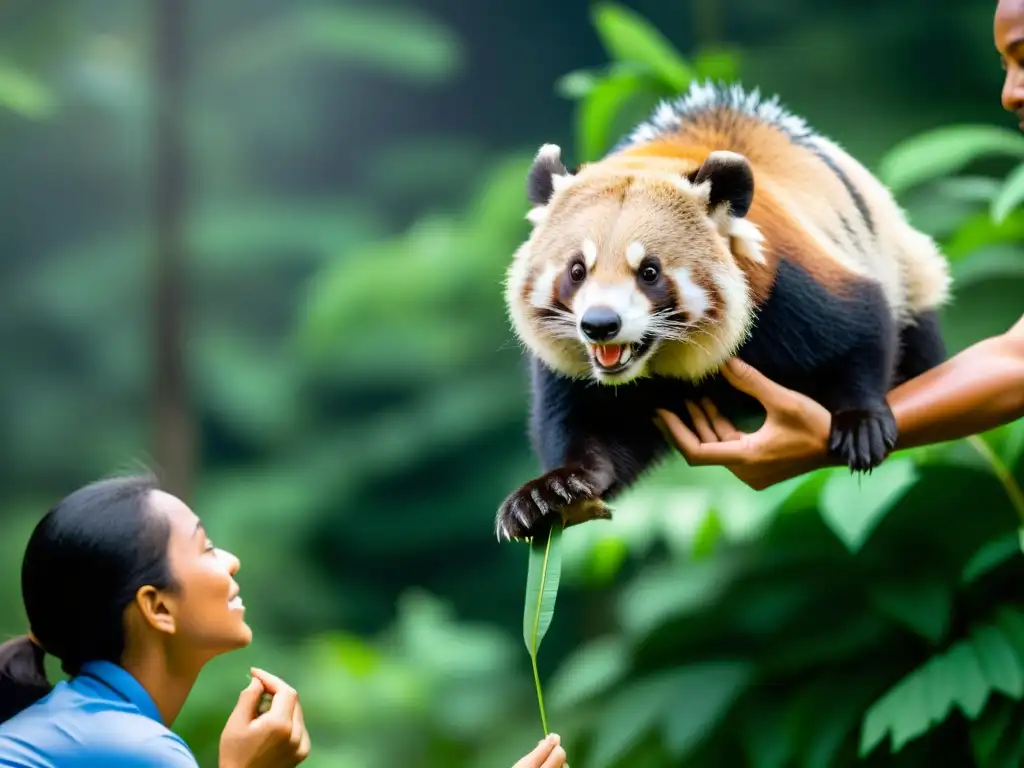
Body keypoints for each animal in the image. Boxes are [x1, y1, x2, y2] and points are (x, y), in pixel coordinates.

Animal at [495, 81, 950, 544]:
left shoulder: (787, 289)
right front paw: (553, 488)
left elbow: (862, 324)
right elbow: (592, 431)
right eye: (576, 271)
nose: (601, 325)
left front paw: (860, 419)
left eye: (649, 272)